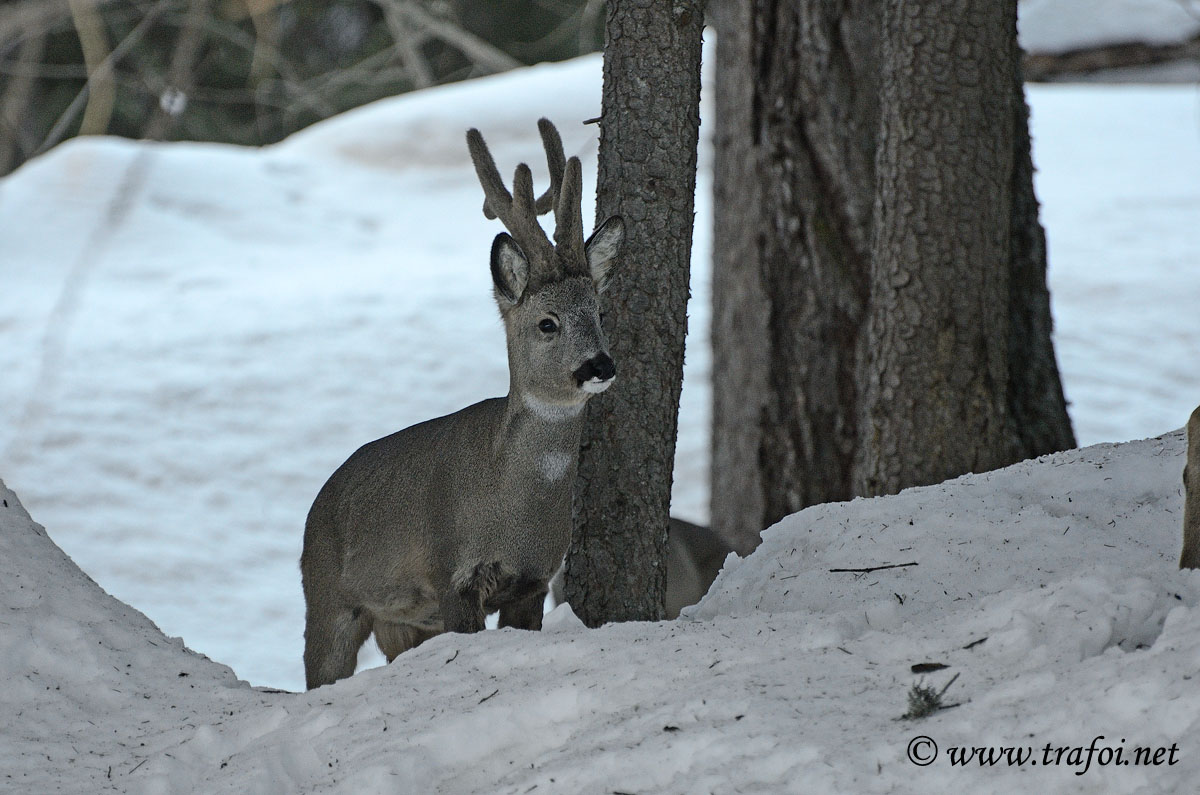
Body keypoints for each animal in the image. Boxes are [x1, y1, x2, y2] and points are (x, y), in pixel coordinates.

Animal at [297, 120, 628, 691]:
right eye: (547, 322)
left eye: (598, 312)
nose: (599, 366)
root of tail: (315, 506)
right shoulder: (450, 574)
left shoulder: (533, 582)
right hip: (327, 598)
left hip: (398, 622)